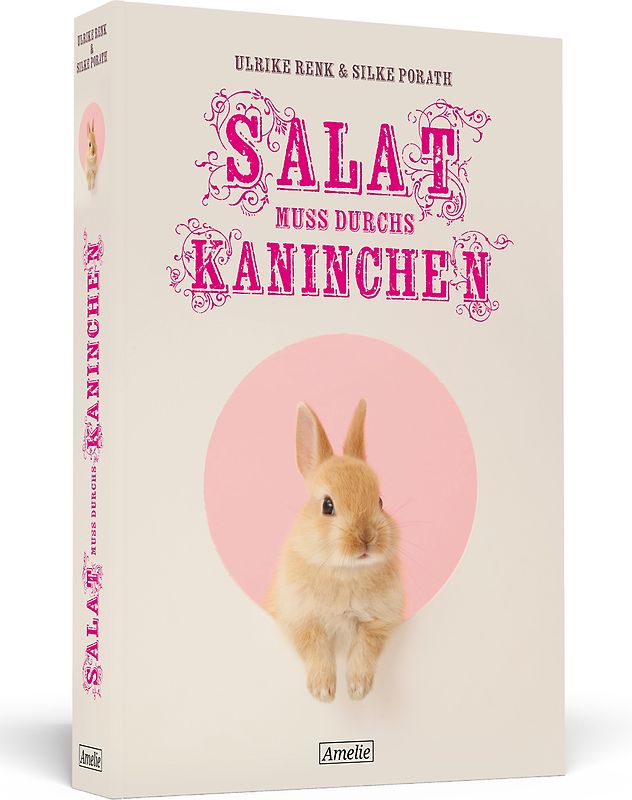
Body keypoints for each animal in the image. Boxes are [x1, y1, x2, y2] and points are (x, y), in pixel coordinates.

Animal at [266, 399, 404, 702]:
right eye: (327, 506)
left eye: (380, 501)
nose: (366, 537)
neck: (345, 571)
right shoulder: (300, 619)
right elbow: (315, 648)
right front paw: (323, 692)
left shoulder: (379, 621)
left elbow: (365, 649)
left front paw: (357, 690)